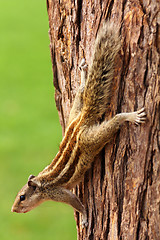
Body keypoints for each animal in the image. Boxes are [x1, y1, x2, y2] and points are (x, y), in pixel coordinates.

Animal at [11, 21, 146, 227]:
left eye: (22, 197)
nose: (13, 210)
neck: (42, 185)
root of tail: (81, 120)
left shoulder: (58, 193)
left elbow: (75, 202)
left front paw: (84, 217)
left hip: (91, 139)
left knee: (112, 123)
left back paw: (128, 116)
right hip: (75, 111)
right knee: (82, 91)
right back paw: (83, 74)